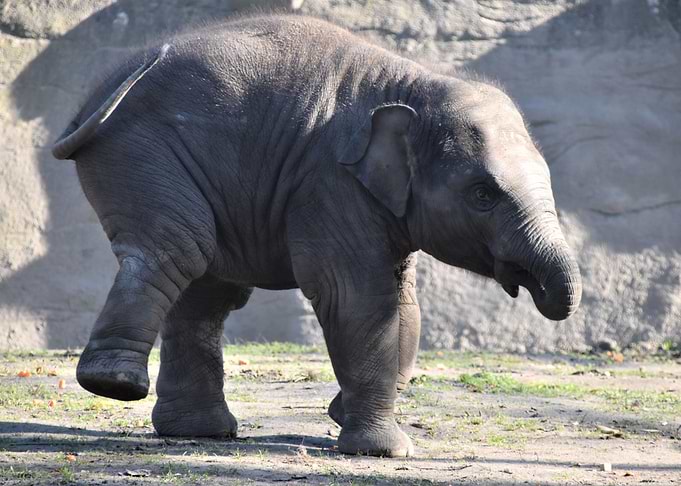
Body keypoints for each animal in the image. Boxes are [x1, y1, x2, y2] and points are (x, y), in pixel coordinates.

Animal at [51, 14, 582, 457]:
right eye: (482, 194)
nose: (533, 287)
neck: (416, 83)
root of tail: (108, 85)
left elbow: (402, 301)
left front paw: (341, 414)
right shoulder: (330, 181)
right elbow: (357, 296)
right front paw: (385, 451)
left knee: (206, 290)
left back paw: (199, 432)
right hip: (140, 151)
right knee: (177, 249)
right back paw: (115, 384)